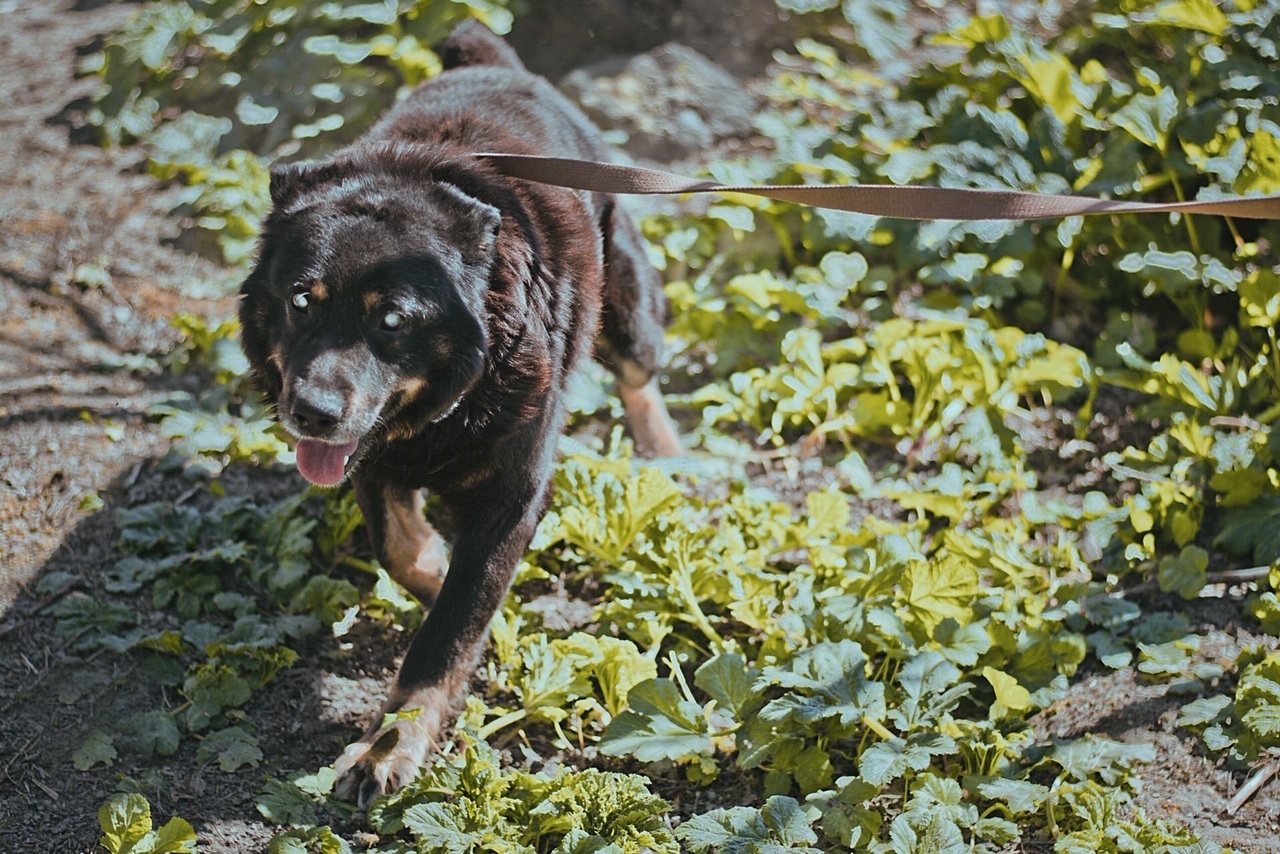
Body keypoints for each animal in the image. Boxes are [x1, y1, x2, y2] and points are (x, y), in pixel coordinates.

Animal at [239, 21, 680, 809]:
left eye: (392, 320)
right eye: (300, 301)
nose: (312, 412)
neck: (448, 409)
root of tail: (496, 62)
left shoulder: (513, 495)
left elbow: (445, 633)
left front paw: (388, 746)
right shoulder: (371, 454)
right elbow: (400, 548)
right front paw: (435, 564)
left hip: (625, 309)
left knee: (640, 373)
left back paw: (664, 451)